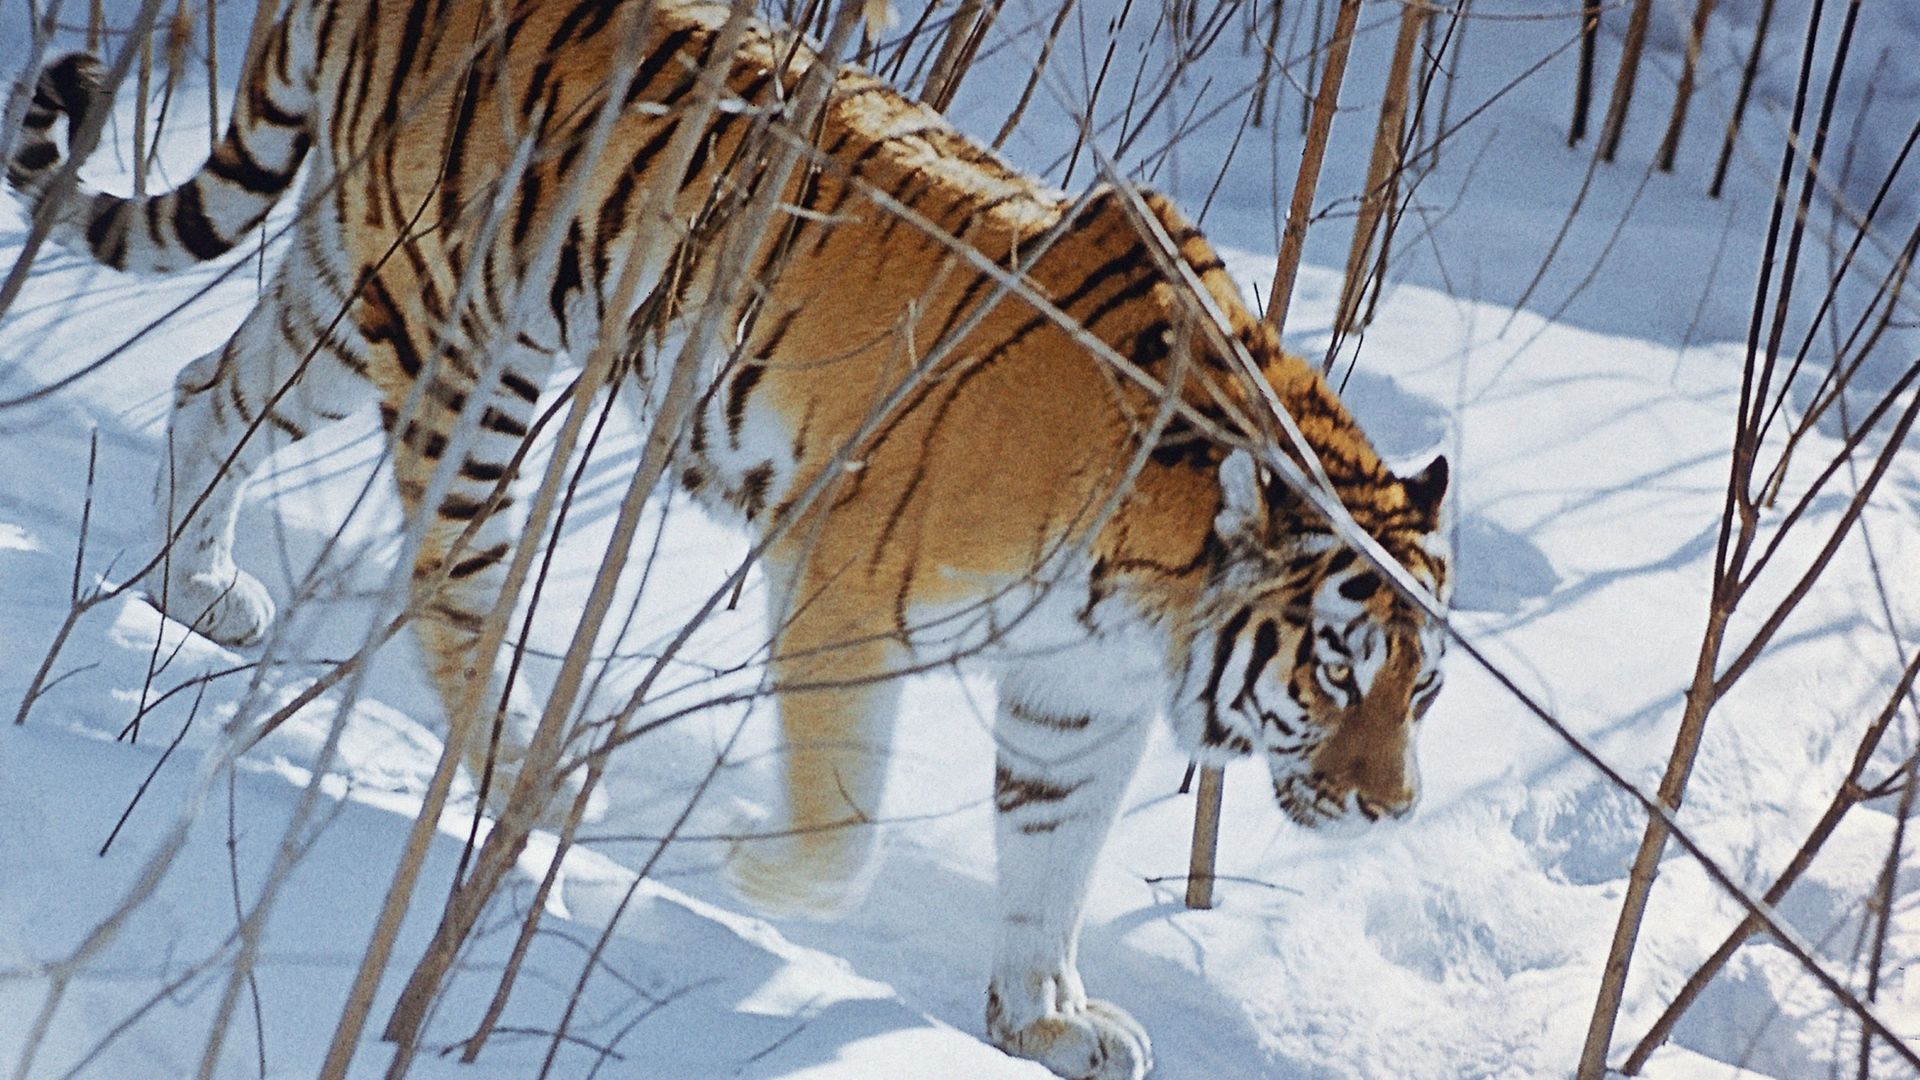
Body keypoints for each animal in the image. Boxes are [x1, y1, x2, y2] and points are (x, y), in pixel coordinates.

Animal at [7, 2, 1452, 1078]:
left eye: (1422, 689)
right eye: (1336, 670)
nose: (1394, 810)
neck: (1151, 601)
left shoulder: (1073, 694)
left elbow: (1050, 856)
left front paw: (1043, 1019)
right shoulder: (845, 587)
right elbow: (841, 814)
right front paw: (760, 874)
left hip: (352, 287)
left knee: (209, 389)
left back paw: (193, 589)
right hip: (465, 334)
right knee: (450, 576)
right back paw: (524, 774)